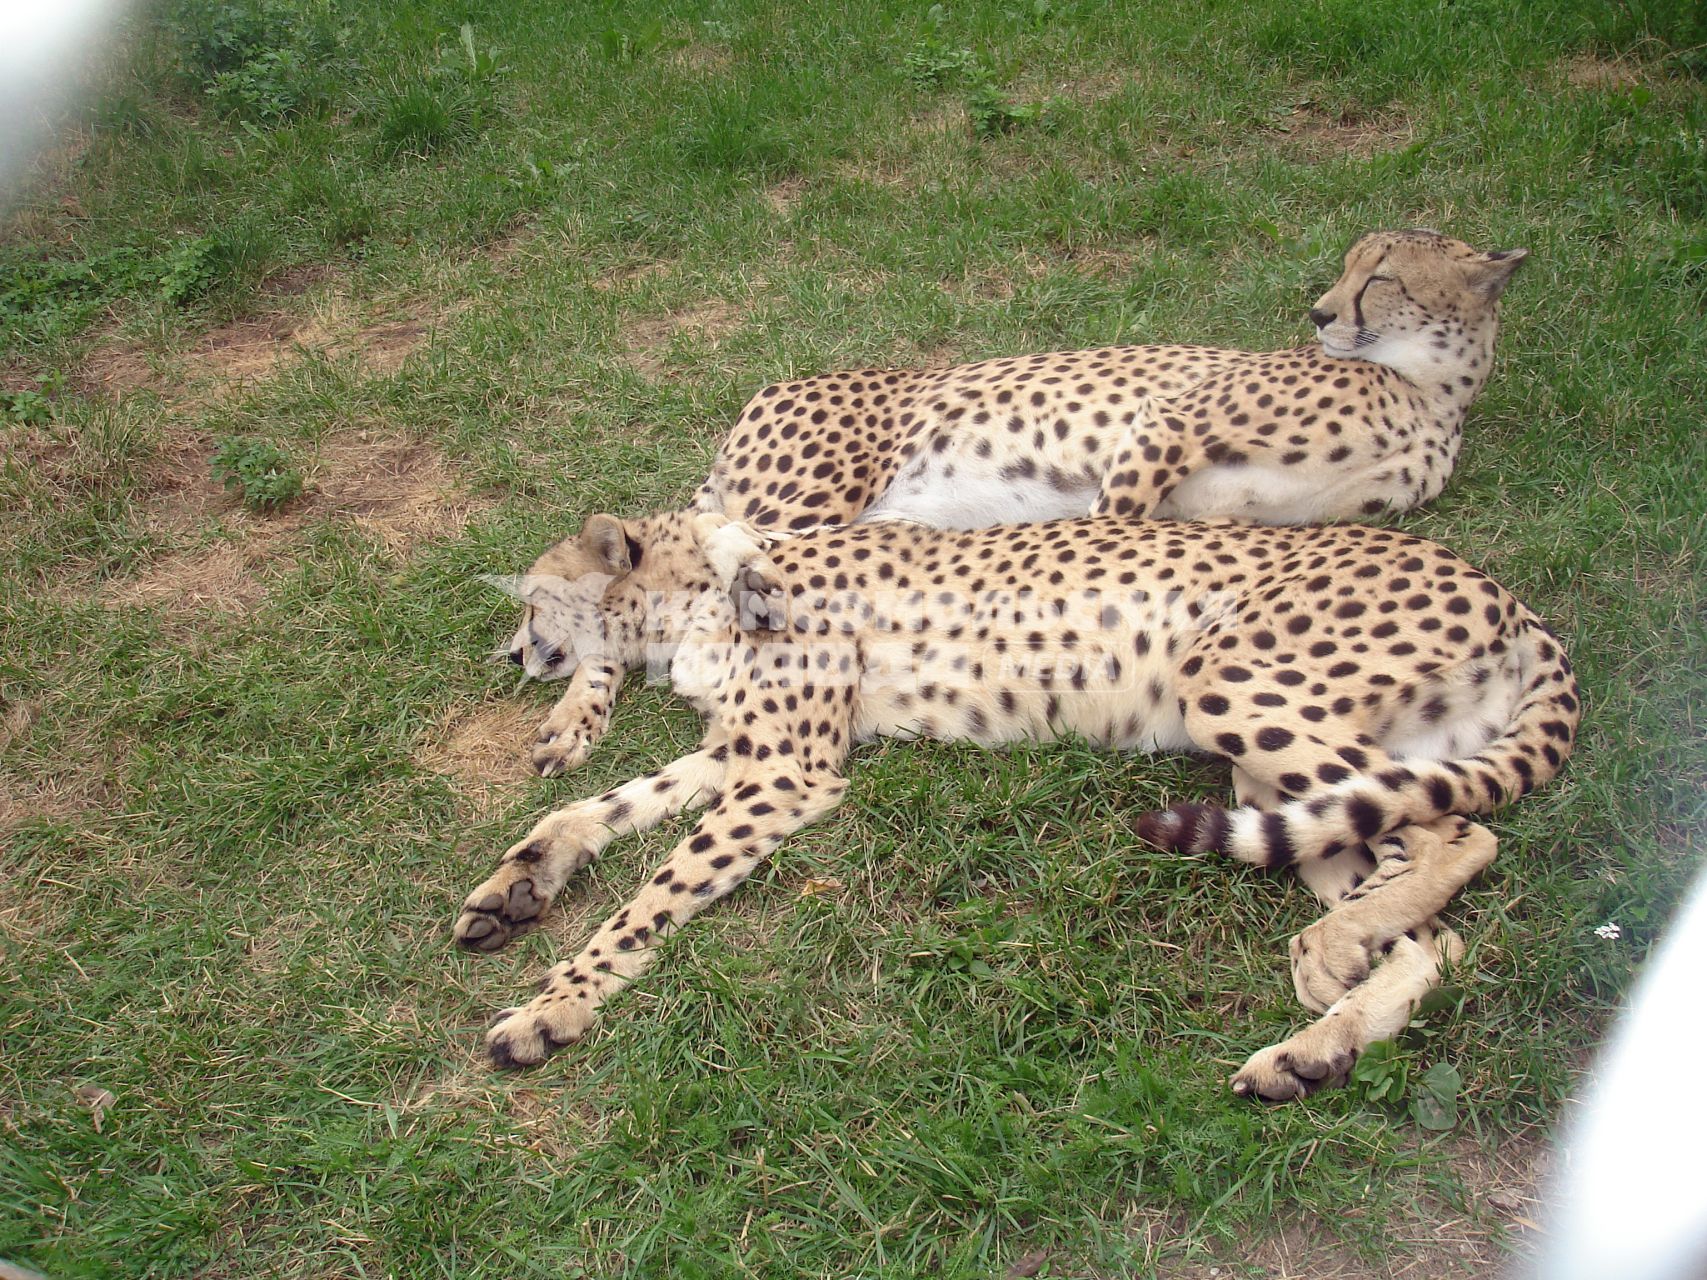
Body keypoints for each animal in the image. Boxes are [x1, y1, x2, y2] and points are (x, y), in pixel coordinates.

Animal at [460, 512, 1577, 1105]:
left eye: (532, 599)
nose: (511, 655)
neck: (702, 586)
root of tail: (1502, 590)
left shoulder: (787, 769)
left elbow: (650, 893)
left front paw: (553, 1005)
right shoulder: (743, 751)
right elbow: (599, 810)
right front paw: (518, 884)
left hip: (1235, 687)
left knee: (1463, 831)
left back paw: (1332, 955)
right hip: (1281, 782)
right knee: (1435, 928)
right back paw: (1316, 1048)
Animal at [512, 228, 1529, 771]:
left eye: (1380, 276)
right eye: (1353, 269)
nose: (1321, 313)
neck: (1429, 390)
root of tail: (769, 392)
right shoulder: (1162, 428)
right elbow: (1114, 523)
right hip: (800, 500)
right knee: (654, 565)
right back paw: (570, 709)